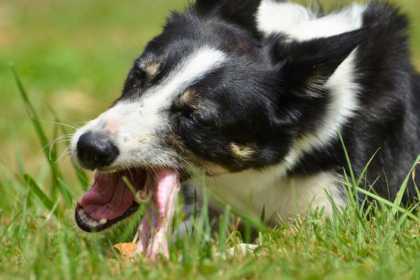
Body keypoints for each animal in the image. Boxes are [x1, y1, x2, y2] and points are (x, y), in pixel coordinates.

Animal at [70, 0, 420, 260]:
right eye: (139, 75)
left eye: (194, 116)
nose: (89, 147)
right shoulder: (208, 212)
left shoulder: (342, 222)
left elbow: (273, 243)